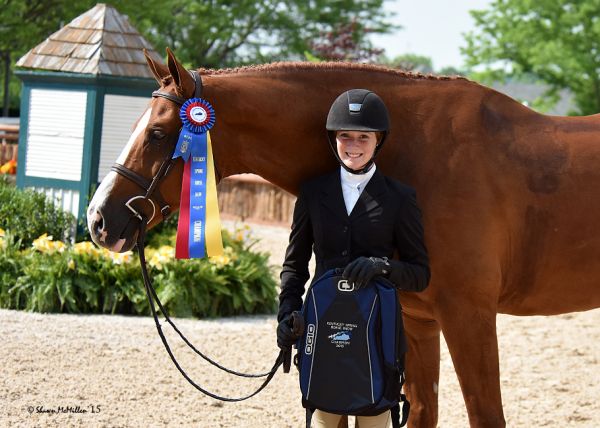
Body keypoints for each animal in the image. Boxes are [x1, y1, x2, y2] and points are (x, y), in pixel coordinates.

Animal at [86, 49, 600, 424]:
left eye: (157, 133)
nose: (99, 220)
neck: (421, 150)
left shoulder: (468, 316)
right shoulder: (418, 321)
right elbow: (422, 412)